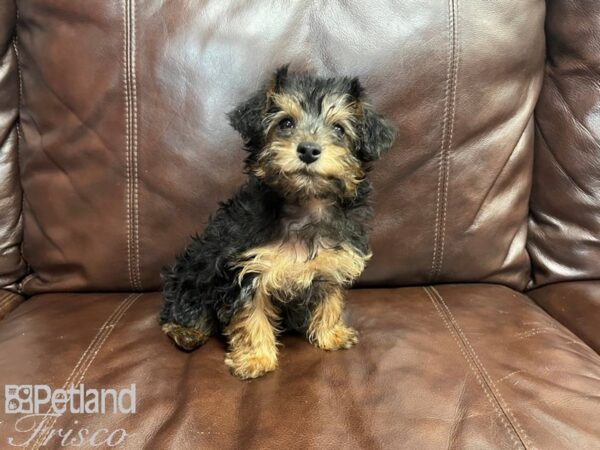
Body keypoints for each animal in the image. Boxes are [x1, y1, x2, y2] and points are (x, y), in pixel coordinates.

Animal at [161, 65, 394, 378]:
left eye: (339, 129)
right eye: (285, 123)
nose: (308, 150)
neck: (305, 205)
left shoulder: (332, 263)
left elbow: (330, 299)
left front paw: (330, 334)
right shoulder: (247, 269)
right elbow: (251, 316)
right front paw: (256, 358)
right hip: (193, 270)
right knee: (181, 305)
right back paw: (186, 332)